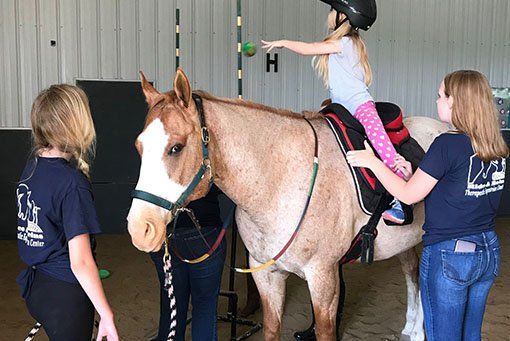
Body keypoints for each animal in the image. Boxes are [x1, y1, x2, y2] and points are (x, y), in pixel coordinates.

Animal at [125, 67, 448, 338]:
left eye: (176, 147)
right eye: (138, 147)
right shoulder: (266, 275)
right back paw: (411, 327)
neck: (282, 180)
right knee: (412, 273)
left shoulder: (323, 279)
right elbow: (272, 328)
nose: (140, 228)